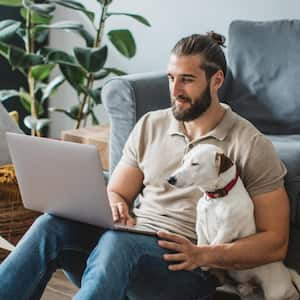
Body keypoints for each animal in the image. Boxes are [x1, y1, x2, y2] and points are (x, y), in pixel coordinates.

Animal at [168, 144, 300, 298]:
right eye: (183, 161)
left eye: (195, 164)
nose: (170, 179)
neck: (216, 198)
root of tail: (287, 271)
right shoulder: (200, 226)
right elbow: (202, 241)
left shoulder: (227, 230)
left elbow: (213, 245)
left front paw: (201, 260)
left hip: (276, 292)